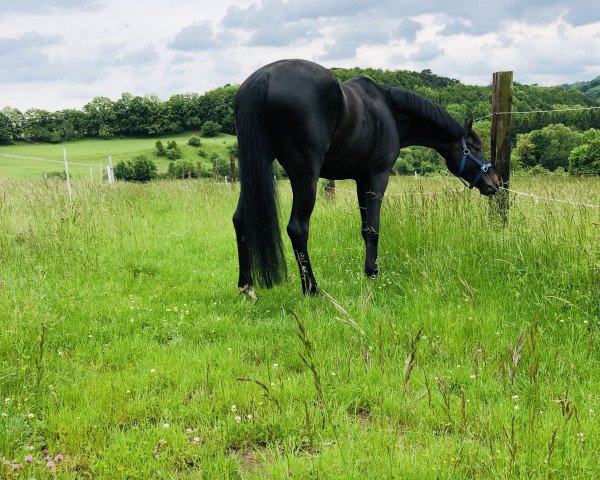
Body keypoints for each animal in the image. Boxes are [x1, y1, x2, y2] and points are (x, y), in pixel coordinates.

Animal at [232, 59, 500, 296]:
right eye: (476, 147)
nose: (495, 183)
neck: (389, 110)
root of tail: (264, 77)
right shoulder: (377, 176)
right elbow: (373, 227)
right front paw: (373, 273)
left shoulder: (361, 180)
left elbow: (364, 227)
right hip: (305, 177)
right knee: (297, 229)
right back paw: (312, 289)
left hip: (254, 170)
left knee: (240, 219)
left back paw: (247, 287)